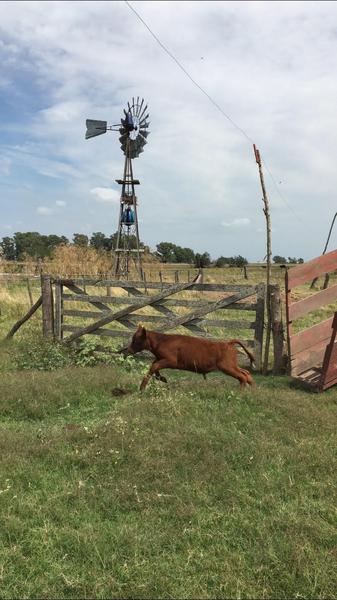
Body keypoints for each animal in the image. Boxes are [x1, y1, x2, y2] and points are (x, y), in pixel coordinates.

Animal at [126, 326, 255, 392]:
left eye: (135, 340)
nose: (129, 350)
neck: (161, 341)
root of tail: (228, 343)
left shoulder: (171, 361)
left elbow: (154, 366)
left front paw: (142, 388)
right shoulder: (159, 358)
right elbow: (154, 367)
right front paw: (162, 378)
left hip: (227, 366)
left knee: (242, 376)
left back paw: (241, 391)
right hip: (232, 365)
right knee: (246, 372)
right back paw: (253, 389)